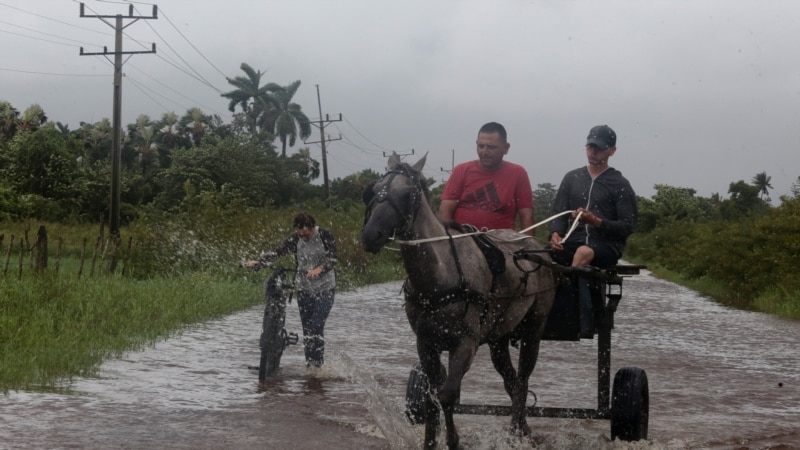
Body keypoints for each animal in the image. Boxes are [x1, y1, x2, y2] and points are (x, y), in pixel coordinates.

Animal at [362, 153, 556, 448]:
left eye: (407, 193)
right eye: (372, 191)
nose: (370, 235)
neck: (440, 277)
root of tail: (533, 244)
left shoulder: (465, 343)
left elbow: (448, 395)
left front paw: (453, 440)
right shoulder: (426, 343)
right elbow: (431, 398)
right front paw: (430, 442)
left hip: (534, 329)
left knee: (522, 381)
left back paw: (516, 433)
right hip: (498, 338)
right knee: (512, 384)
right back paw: (520, 429)